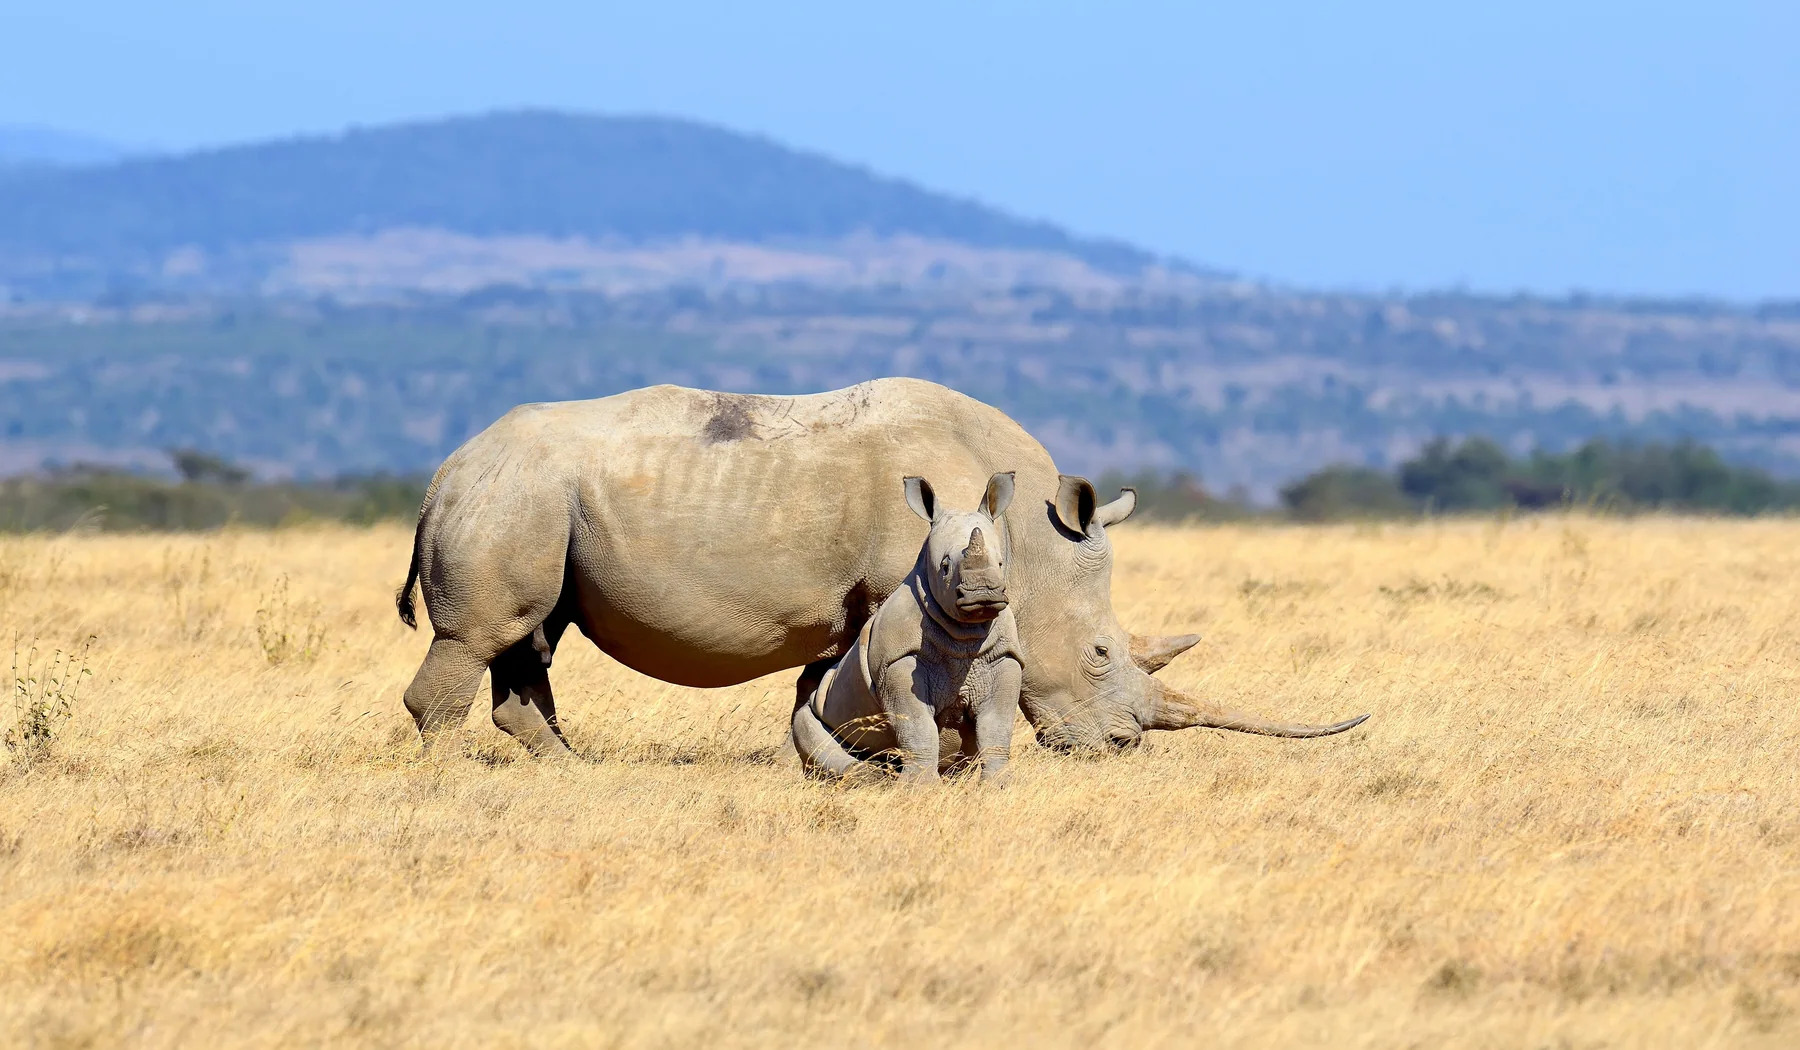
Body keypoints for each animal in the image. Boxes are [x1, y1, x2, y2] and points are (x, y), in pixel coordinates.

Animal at [791, 472, 1023, 784]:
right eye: (945, 567)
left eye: (1000, 563)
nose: (983, 594)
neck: (966, 632)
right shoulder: (897, 660)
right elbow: (917, 726)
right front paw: (921, 787)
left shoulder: (1003, 656)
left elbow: (996, 725)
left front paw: (1000, 785)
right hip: (818, 705)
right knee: (808, 727)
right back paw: (871, 778)